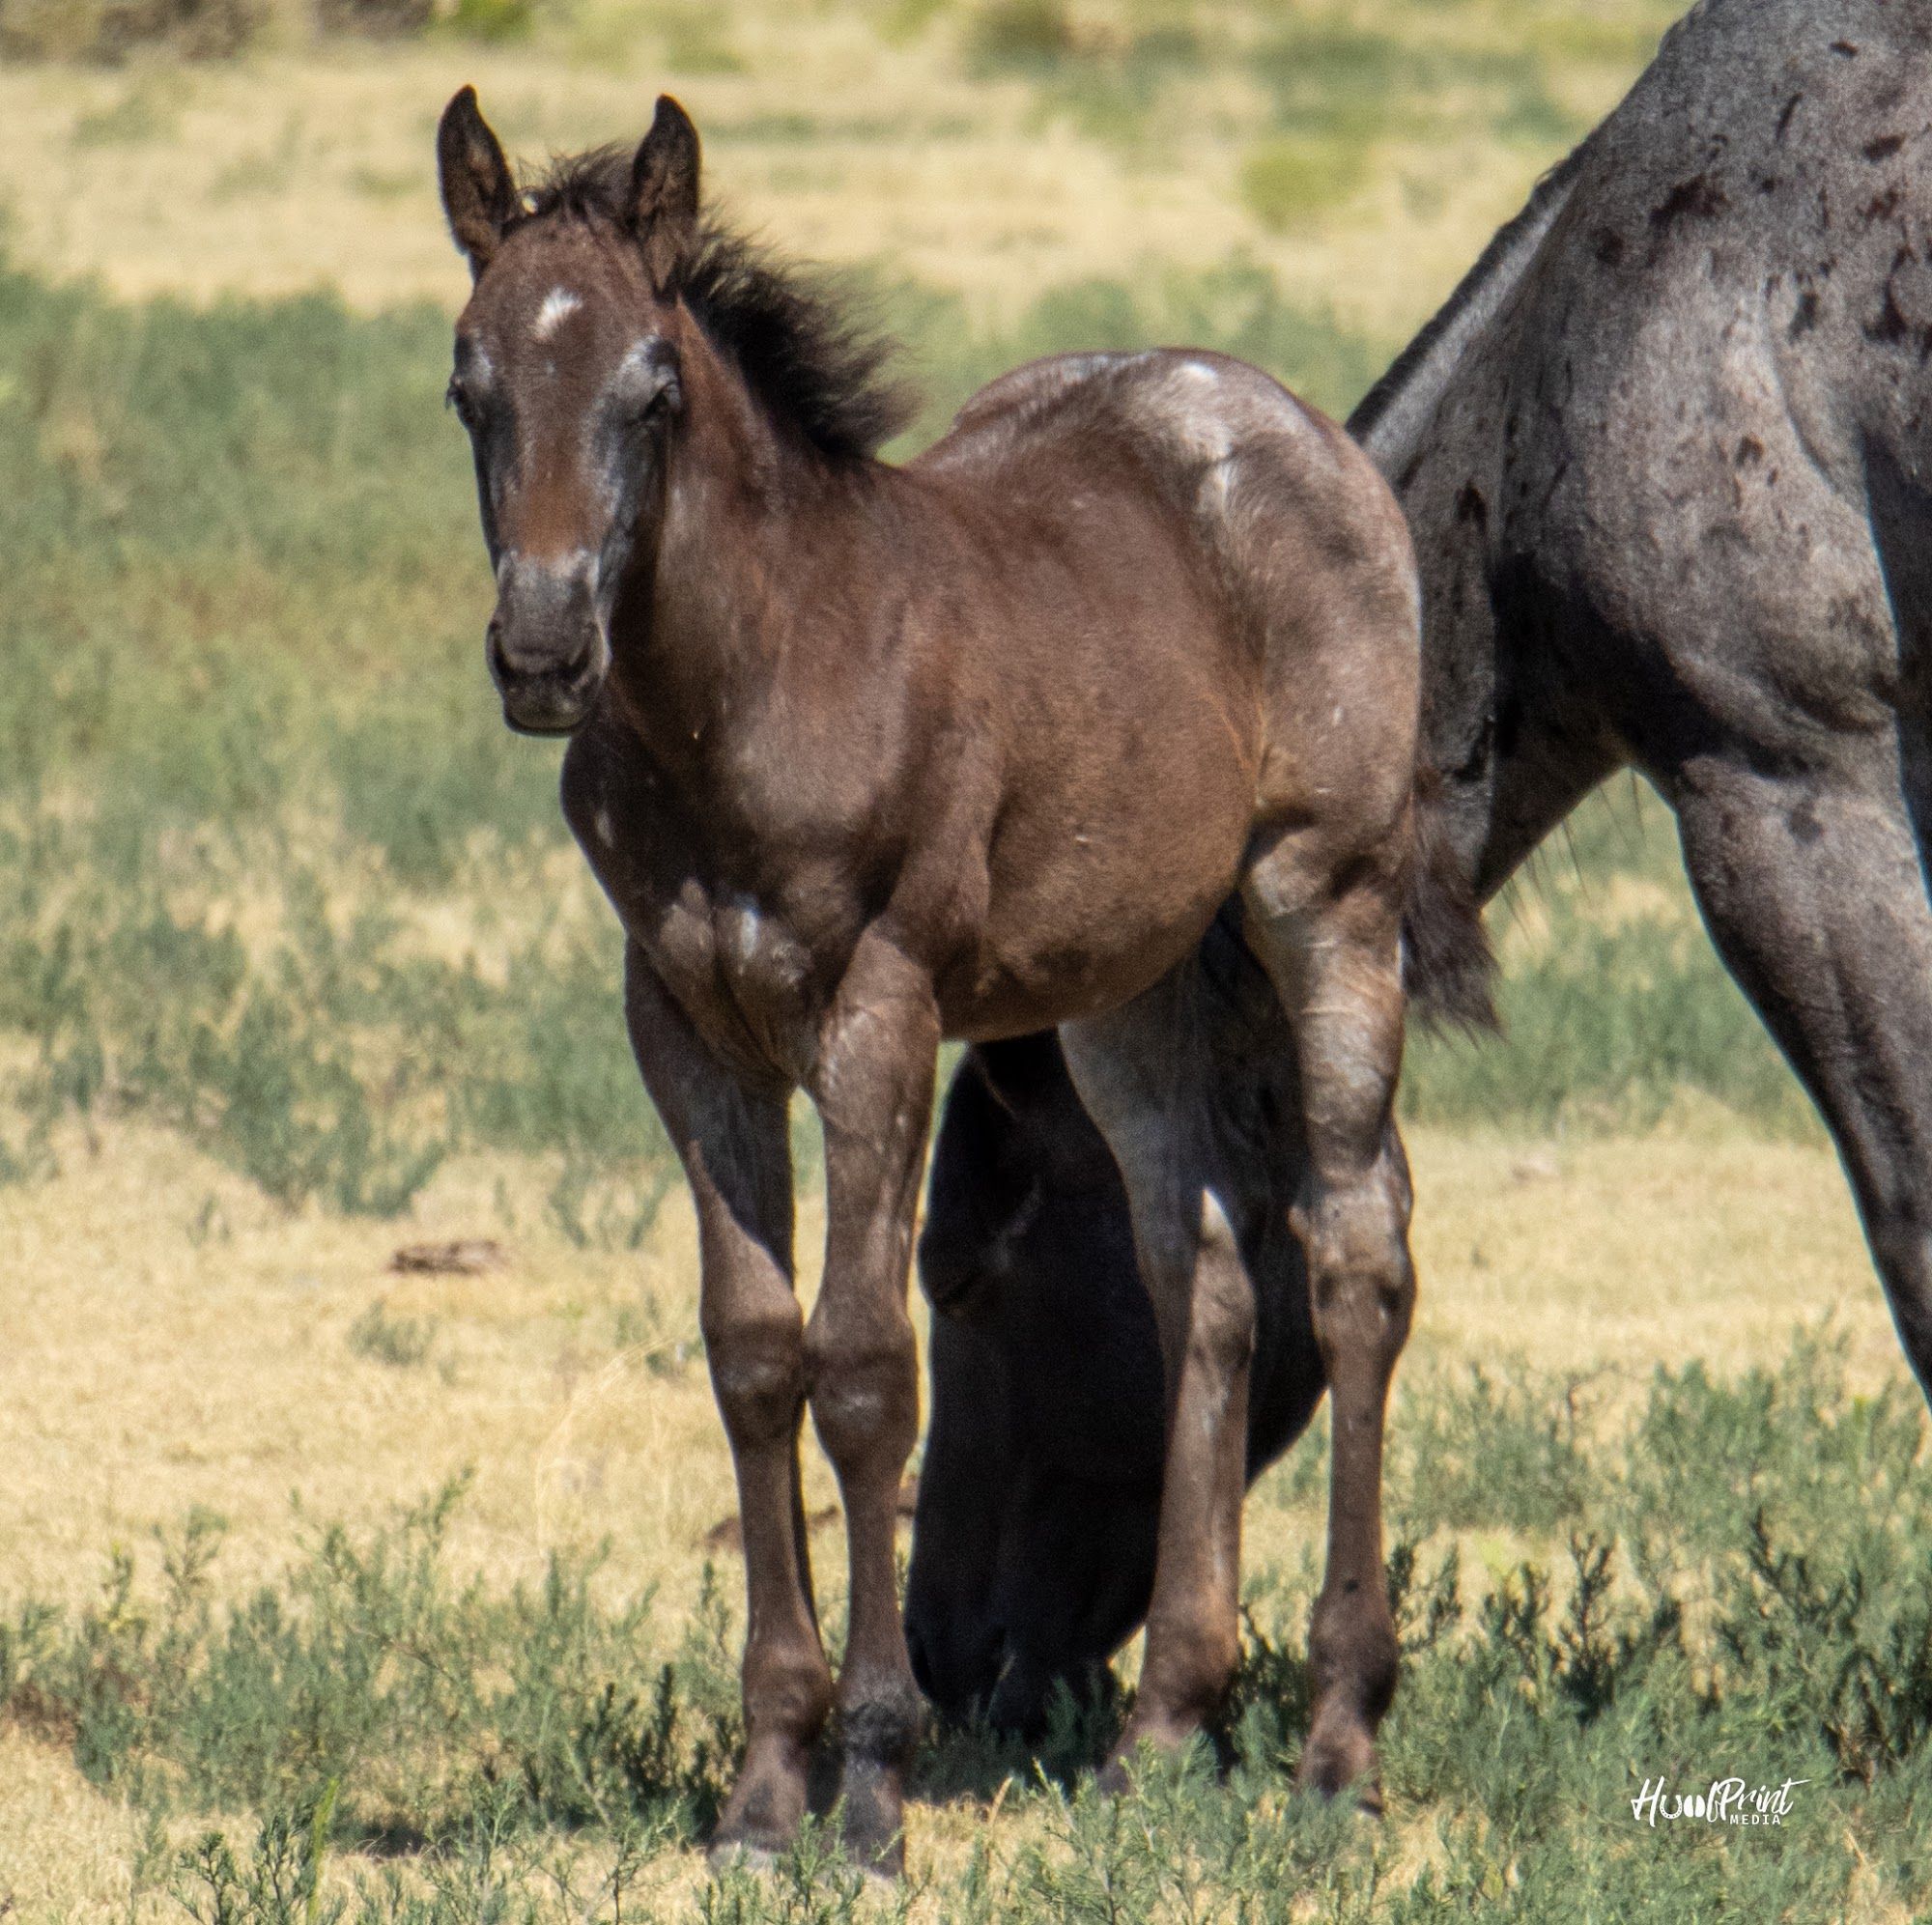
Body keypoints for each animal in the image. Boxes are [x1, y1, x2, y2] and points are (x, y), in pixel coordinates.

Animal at [435, 88, 1485, 1871]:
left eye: (652, 388)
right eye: (469, 385)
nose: (545, 652)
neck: (755, 681)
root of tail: (1292, 423)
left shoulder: (881, 1011)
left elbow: (863, 1367)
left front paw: (866, 1781)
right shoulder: (683, 1024)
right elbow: (750, 1352)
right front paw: (762, 1784)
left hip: (1326, 892)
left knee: (1355, 1246)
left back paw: (1338, 1739)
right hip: (1130, 987)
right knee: (1199, 1265)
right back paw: (1161, 1726)